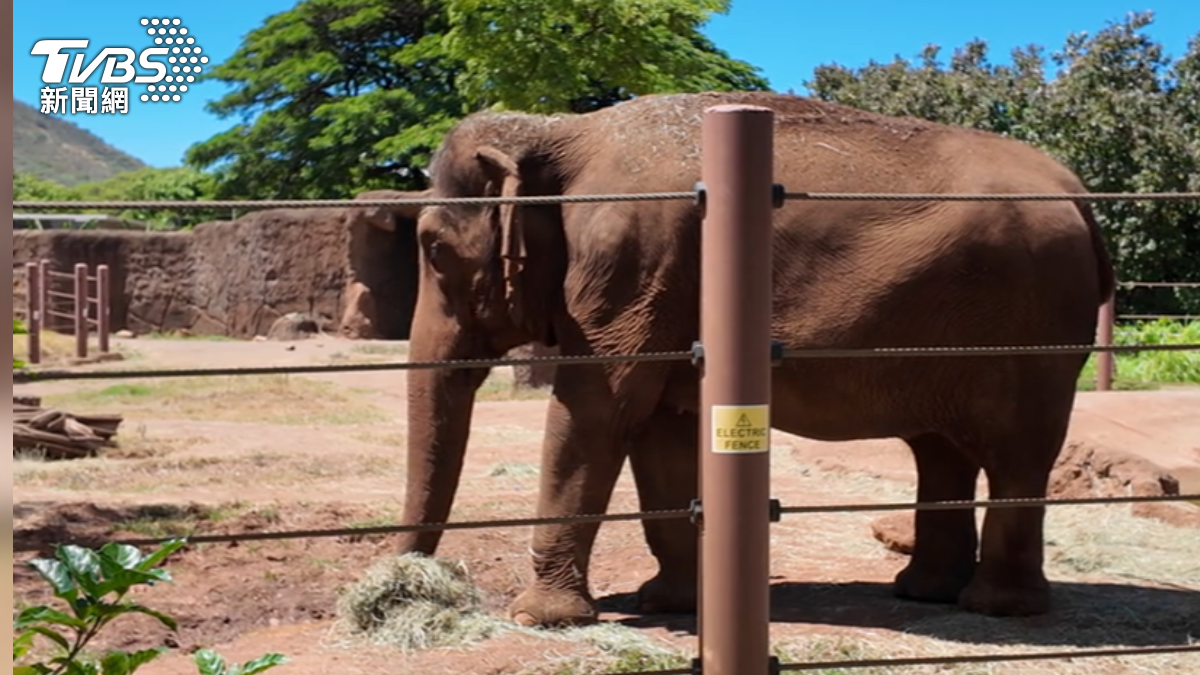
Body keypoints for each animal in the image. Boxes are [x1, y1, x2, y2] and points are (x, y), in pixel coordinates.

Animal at [392, 91, 1115, 628]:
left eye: (433, 250)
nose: (401, 580)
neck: (561, 130)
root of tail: (1080, 193)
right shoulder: (659, 286)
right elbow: (660, 430)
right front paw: (672, 603)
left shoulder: (631, 259)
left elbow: (599, 410)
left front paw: (540, 617)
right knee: (942, 449)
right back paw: (923, 591)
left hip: (1035, 329)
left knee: (1017, 451)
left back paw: (997, 607)